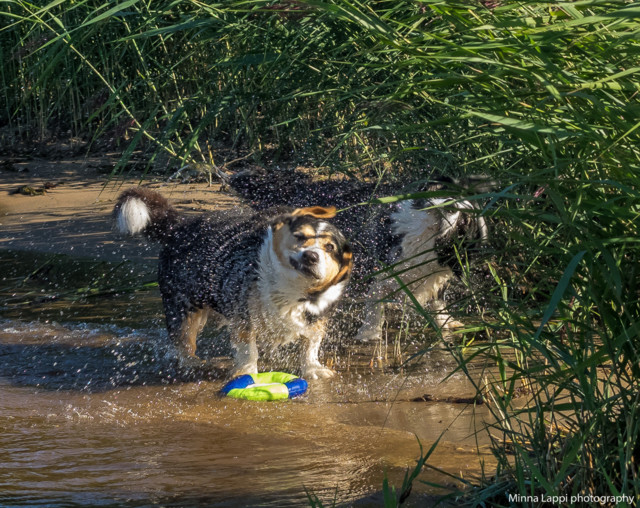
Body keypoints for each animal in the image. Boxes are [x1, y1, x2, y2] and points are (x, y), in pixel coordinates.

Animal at [112, 189, 352, 380]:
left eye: (330, 247)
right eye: (300, 237)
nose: (311, 256)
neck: (292, 289)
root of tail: (179, 226)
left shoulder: (317, 318)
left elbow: (311, 345)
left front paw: (312, 369)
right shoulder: (243, 316)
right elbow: (248, 349)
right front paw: (247, 372)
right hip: (183, 306)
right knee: (183, 339)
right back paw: (190, 362)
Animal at [226, 170, 490, 342]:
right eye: (474, 238)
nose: (485, 259)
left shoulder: (434, 276)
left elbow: (438, 301)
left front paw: (447, 322)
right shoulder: (379, 271)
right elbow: (375, 303)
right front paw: (369, 333)